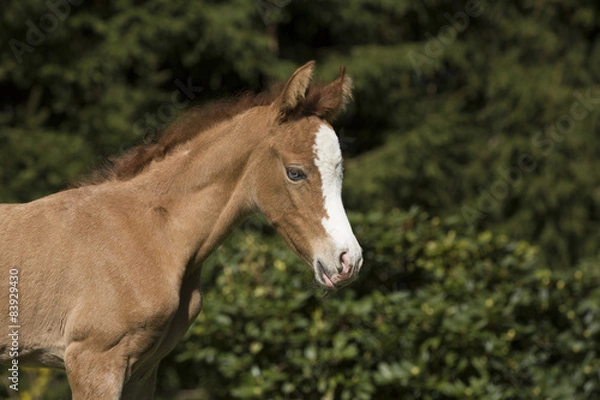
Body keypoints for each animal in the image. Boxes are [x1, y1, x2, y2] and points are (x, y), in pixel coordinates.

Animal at [0, 61, 360, 398]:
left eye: (340, 171)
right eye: (295, 172)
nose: (348, 261)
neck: (151, 233)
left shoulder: (142, 369)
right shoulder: (94, 359)